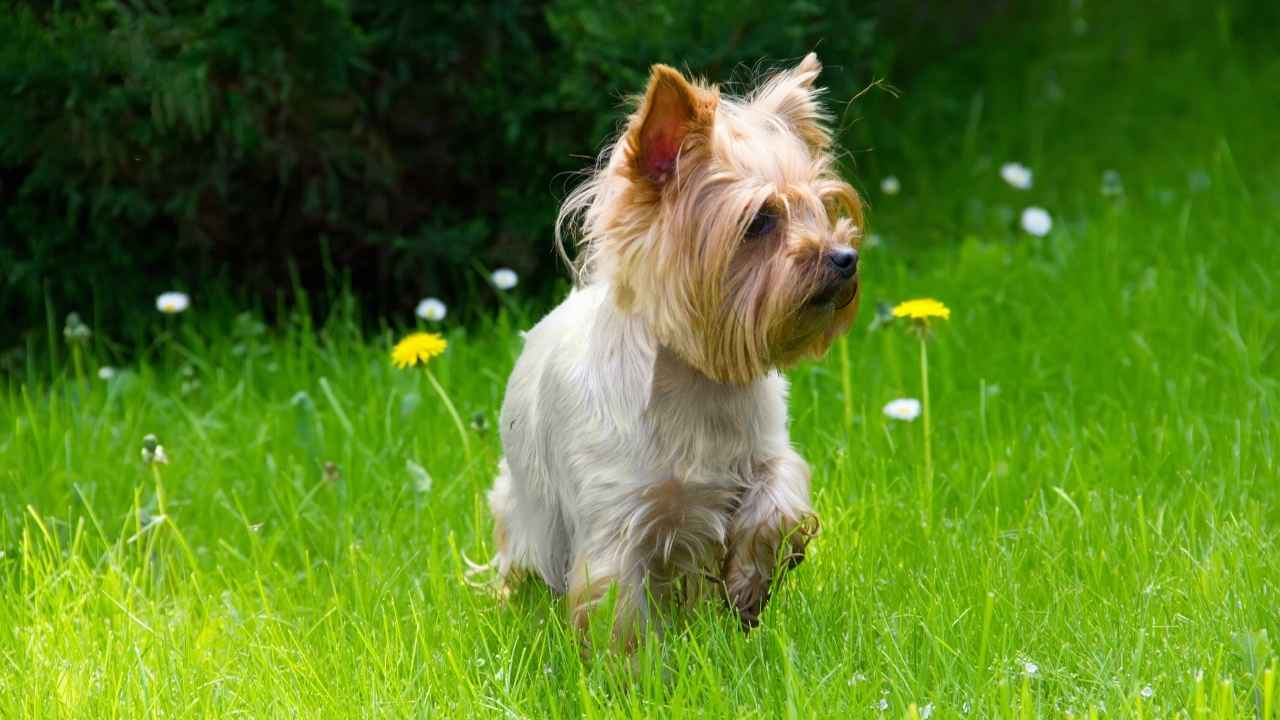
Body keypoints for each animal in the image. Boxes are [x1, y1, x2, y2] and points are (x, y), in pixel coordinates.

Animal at [478, 53, 860, 640]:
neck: (701, 381)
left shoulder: (768, 455)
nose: (845, 258)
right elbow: (620, 609)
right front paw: (637, 665)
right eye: (760, 221)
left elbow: (777, 505)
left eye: (822, 208)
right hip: (526, 512)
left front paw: (748, 585)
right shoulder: (620, 516)